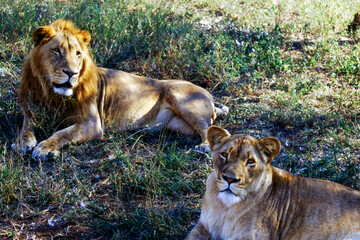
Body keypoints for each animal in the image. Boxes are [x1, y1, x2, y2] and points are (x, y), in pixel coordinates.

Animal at [14, 19, 229, 159]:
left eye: (78, 54)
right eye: (56, 51)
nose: (71, 73)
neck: (52, 93)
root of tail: (209, 96)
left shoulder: (92, 123)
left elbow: (63, 133)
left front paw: (44, 148)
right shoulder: (31, 110)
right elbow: (25, 127)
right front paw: (22, 143)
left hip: (179, 96)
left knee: (214, 129)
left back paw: (204, 146)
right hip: (178, 125)